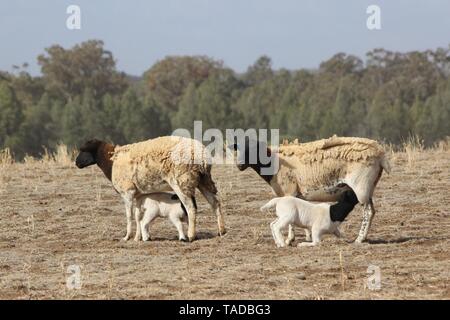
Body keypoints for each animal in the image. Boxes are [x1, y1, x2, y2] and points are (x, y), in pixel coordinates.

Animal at [75, 136, 227, 242]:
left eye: (84, 150)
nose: (76, 163)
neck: (112, 161)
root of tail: (202, 156)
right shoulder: (137, 194)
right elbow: (138, 216)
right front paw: (138, 237)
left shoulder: (127, 192)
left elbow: (129, 216)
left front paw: (127, 237)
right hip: (203, 180)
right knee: (215, 203)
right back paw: (221, 231)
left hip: (181, 181)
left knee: (191, 207)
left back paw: (190, 235)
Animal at [232, 134, 390, 242]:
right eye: (238, 149)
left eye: (253, 150)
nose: (239, 165)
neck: (274, 163)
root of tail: (380, 154)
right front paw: (307, 236)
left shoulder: (289, 191)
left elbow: (290, 221)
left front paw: (290, 240)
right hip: (369, 186)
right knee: (372, 211)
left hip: (361, 186)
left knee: (368, 212)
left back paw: (359, 239)